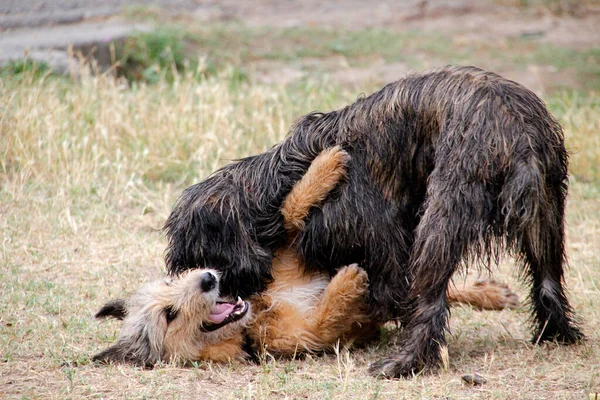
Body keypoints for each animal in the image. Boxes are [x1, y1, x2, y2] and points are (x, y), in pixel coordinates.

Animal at [92, 147, 516, 366]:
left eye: (173, 279)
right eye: (169, 314)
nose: (209, 279)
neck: (258, 311)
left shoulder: (293, 258)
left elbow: (292, 213)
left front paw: (324, 165)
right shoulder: (311, 339)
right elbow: (327, 316)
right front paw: (348, 281)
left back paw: (490, 293)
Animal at [162, 66, 584, 378]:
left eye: (206, 255)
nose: (215, 287)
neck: (282, 179)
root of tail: (521, 136)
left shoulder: (376, 240)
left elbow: (390, 292)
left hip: (443, 215)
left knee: (430, 302)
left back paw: (404, 363)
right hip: (547, 212)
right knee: (548, 283)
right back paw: (557, 335)